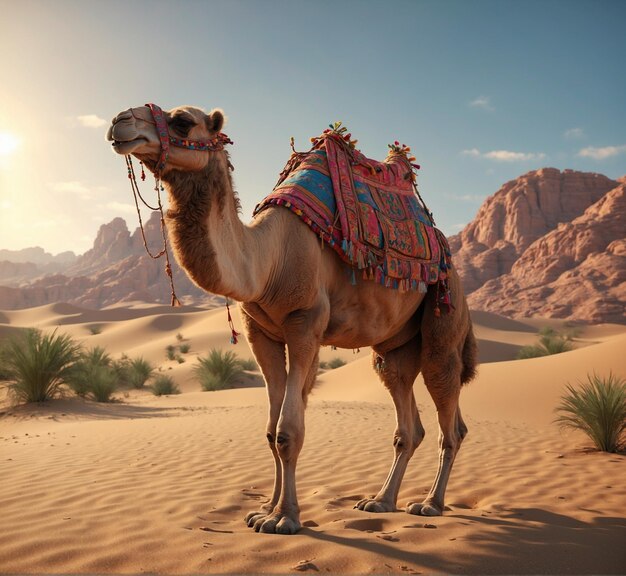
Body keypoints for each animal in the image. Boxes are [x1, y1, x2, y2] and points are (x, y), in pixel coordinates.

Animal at [108, 104, 478, 536]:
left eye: (183, 121)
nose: (119, 121)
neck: (267, 262)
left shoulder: (305, 324)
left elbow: (288, 432)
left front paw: (285, 518)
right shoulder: (261, 333)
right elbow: (271, 432)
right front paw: (264, 510)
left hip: (444, 314)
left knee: (449, 418)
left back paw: (431, 504)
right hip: (396, 347)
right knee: (405, 415)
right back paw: (381, 501)